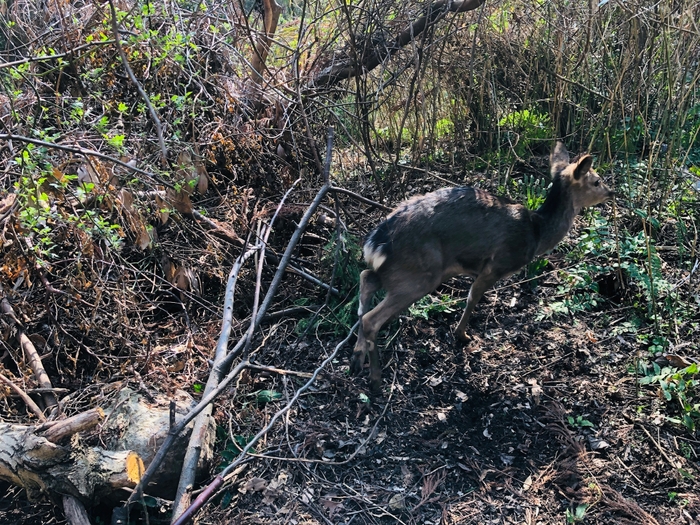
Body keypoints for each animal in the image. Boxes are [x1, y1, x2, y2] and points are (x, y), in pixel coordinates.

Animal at [350, 141, 612, 390]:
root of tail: (377, 242)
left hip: (400, 271)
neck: (537, 234)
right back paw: (375, 380)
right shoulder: (496, 265)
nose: (611, 192)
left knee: (365, 279)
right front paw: (462, 335)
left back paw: (357, 358)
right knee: (371, 318)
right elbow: (473, 297)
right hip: (419, 274)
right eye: (596, 180)